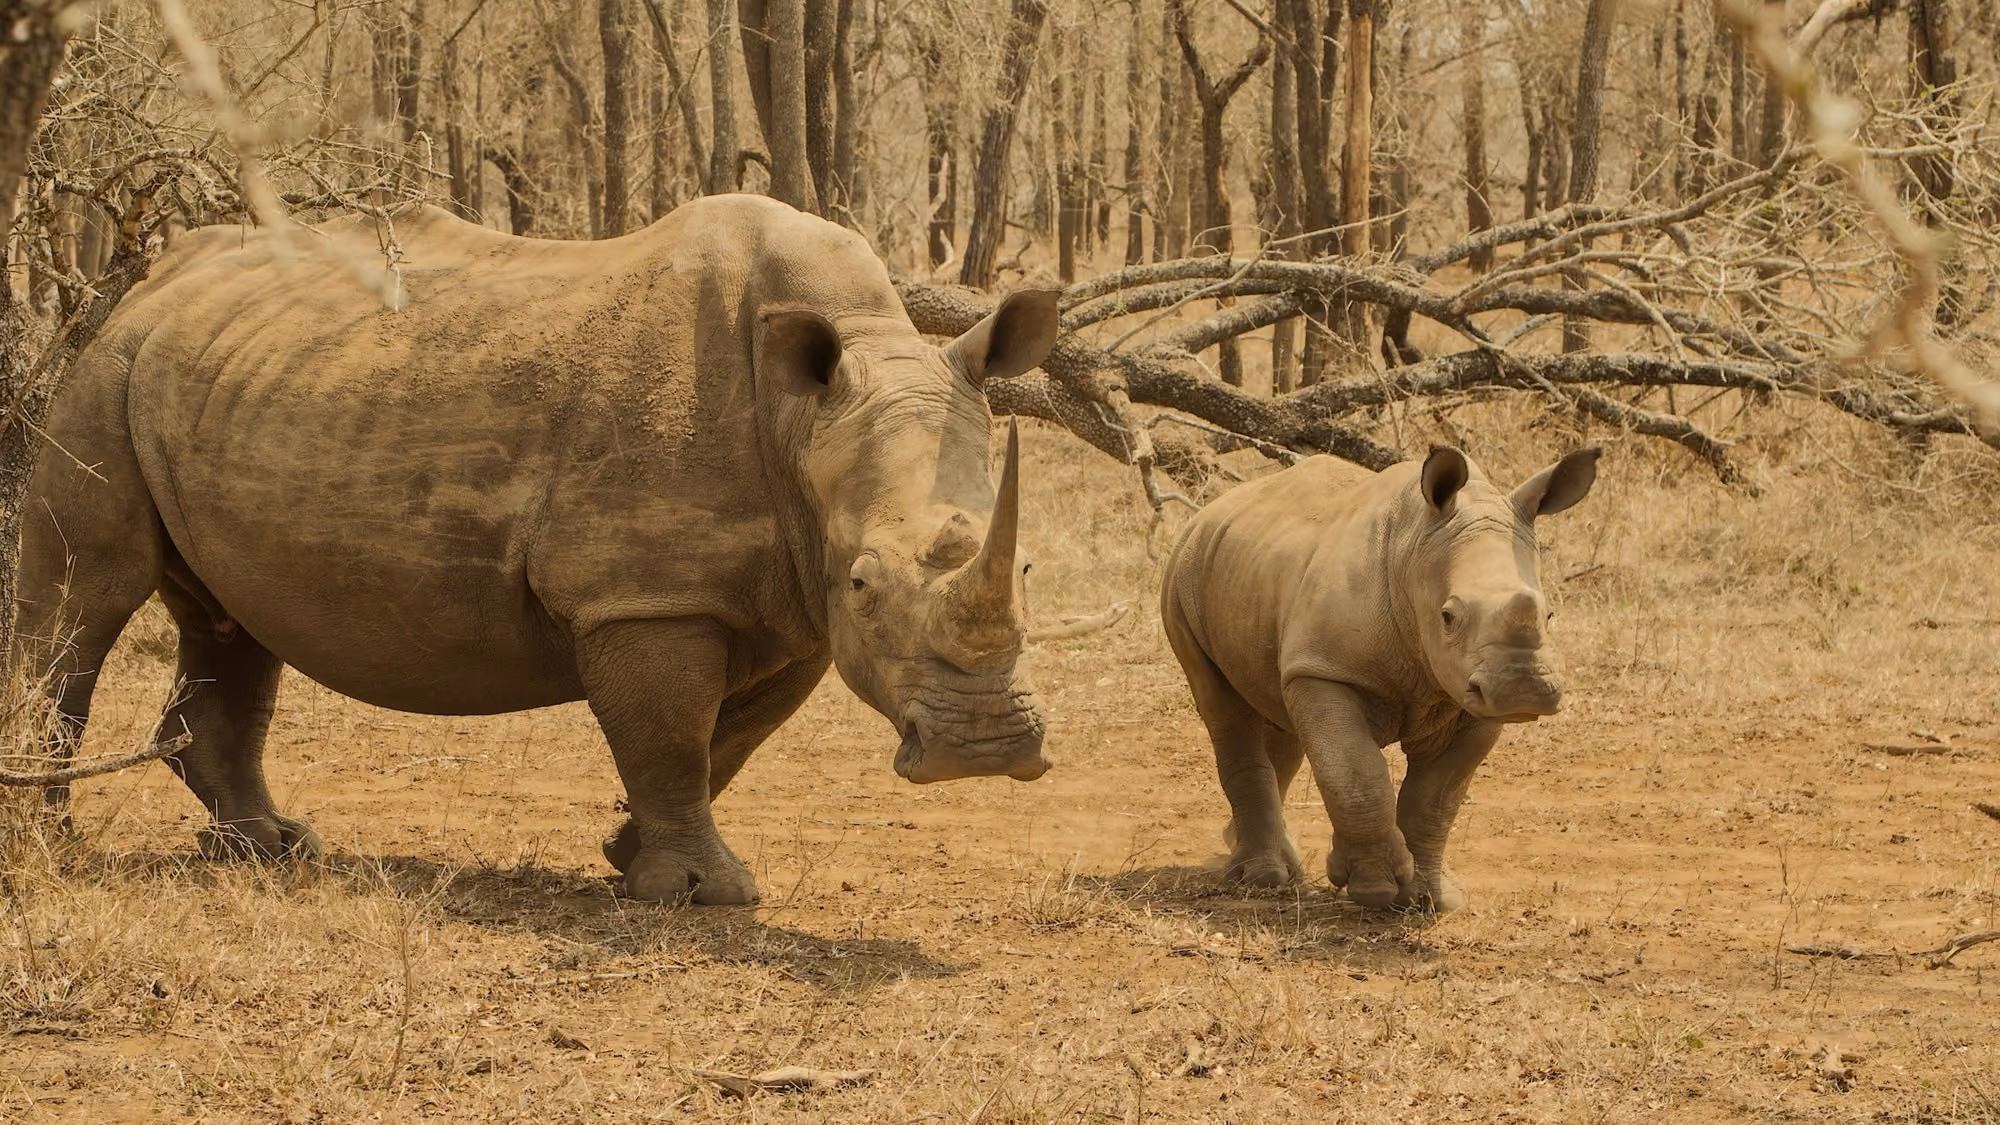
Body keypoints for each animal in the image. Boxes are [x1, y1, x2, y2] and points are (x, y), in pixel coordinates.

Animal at [16, 195, 1061, 904]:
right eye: (864, 582)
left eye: (1026, 570)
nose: (982, 750)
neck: (811, 415)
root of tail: (149, 280)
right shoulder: (645, 591)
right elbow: (672, 732)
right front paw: (700, 894)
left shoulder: (787, 601)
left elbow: (728, 739)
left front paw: (629, 856)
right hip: (104, 370)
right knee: (86, 600)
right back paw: (49, 842)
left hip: (216, 373)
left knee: (231, 619)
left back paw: (271, 847)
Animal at [1161, 445, 1600, 911]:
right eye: (1448, 616)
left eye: (1549, 614)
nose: (1522, 689)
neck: (1414, 550)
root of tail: (1210, 510)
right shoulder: (1325, 670)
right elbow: (1356, 775)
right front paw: (1375, 888)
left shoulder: (1471, 700)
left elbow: (1438, 796)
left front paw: (1430, 899)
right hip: (1184, 571)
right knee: (1225, 712)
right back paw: (1262, 879)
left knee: (1278, 715)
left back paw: (1258, 854)